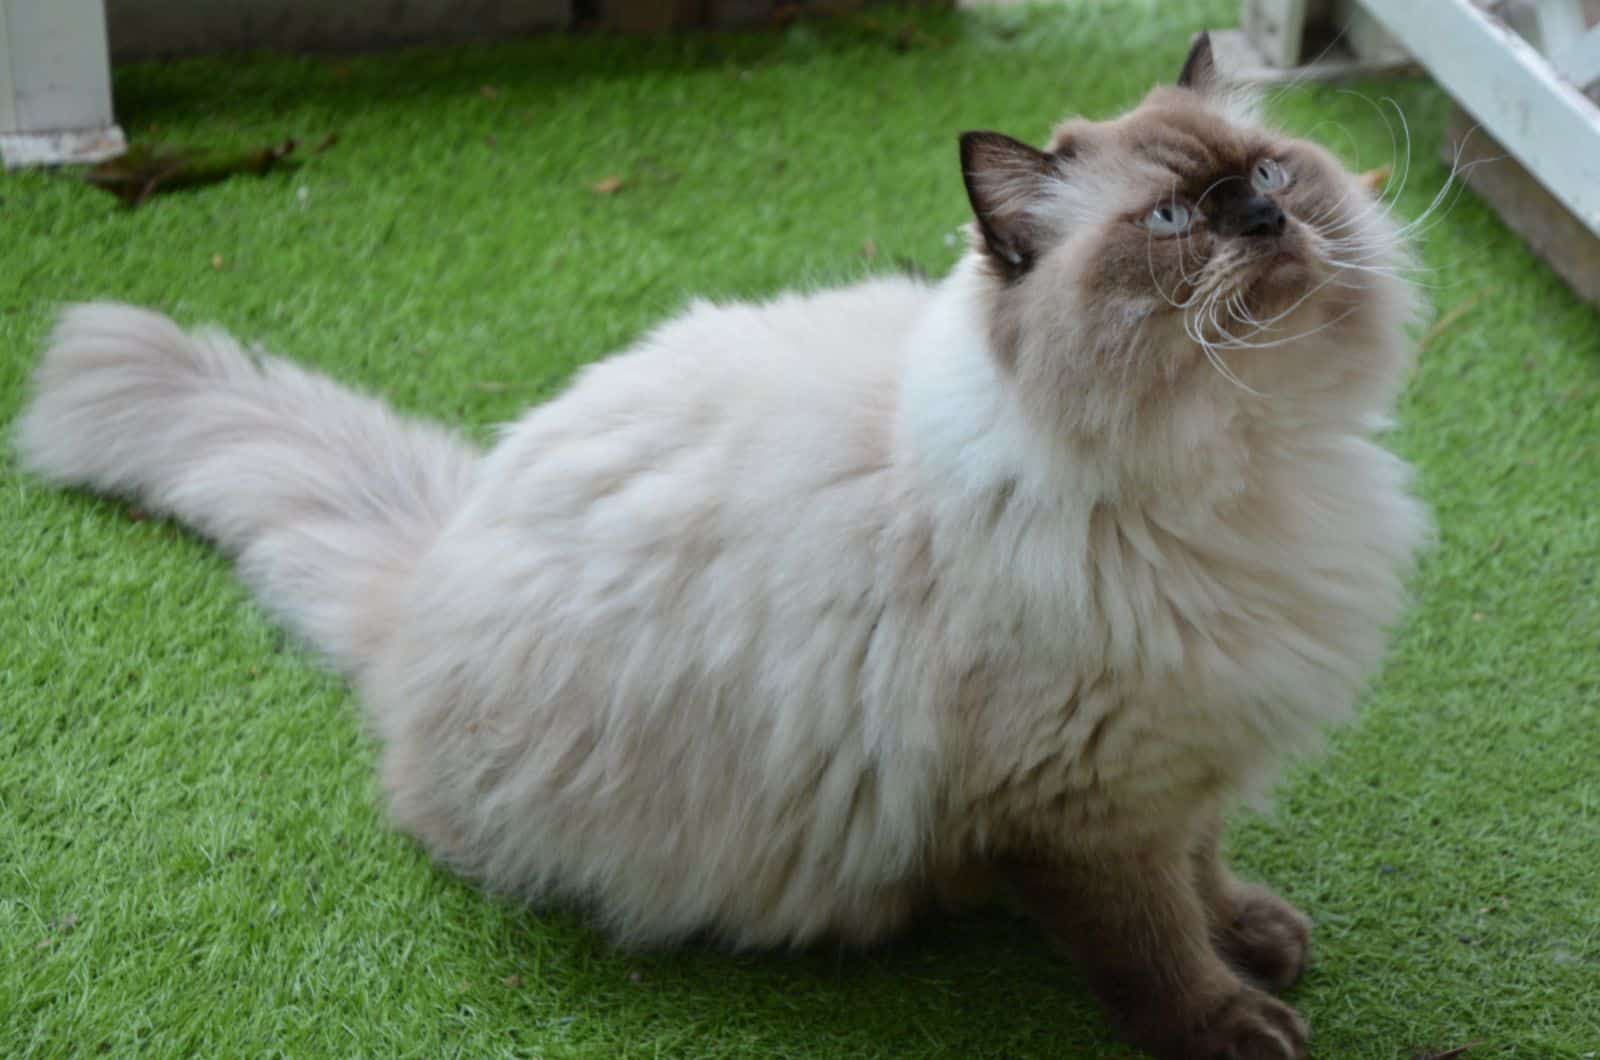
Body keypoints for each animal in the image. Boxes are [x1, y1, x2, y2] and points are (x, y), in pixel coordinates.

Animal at [15, 33, 1427, 1060]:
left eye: (1268, 174)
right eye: (1173, 222)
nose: (1261, 219)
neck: (1249, 465)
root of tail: (431, 571)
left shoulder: (1188, 747)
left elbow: (1204, 869)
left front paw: (1258, 933)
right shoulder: (1091, 800)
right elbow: (1151, 942)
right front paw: (1230, 1020)